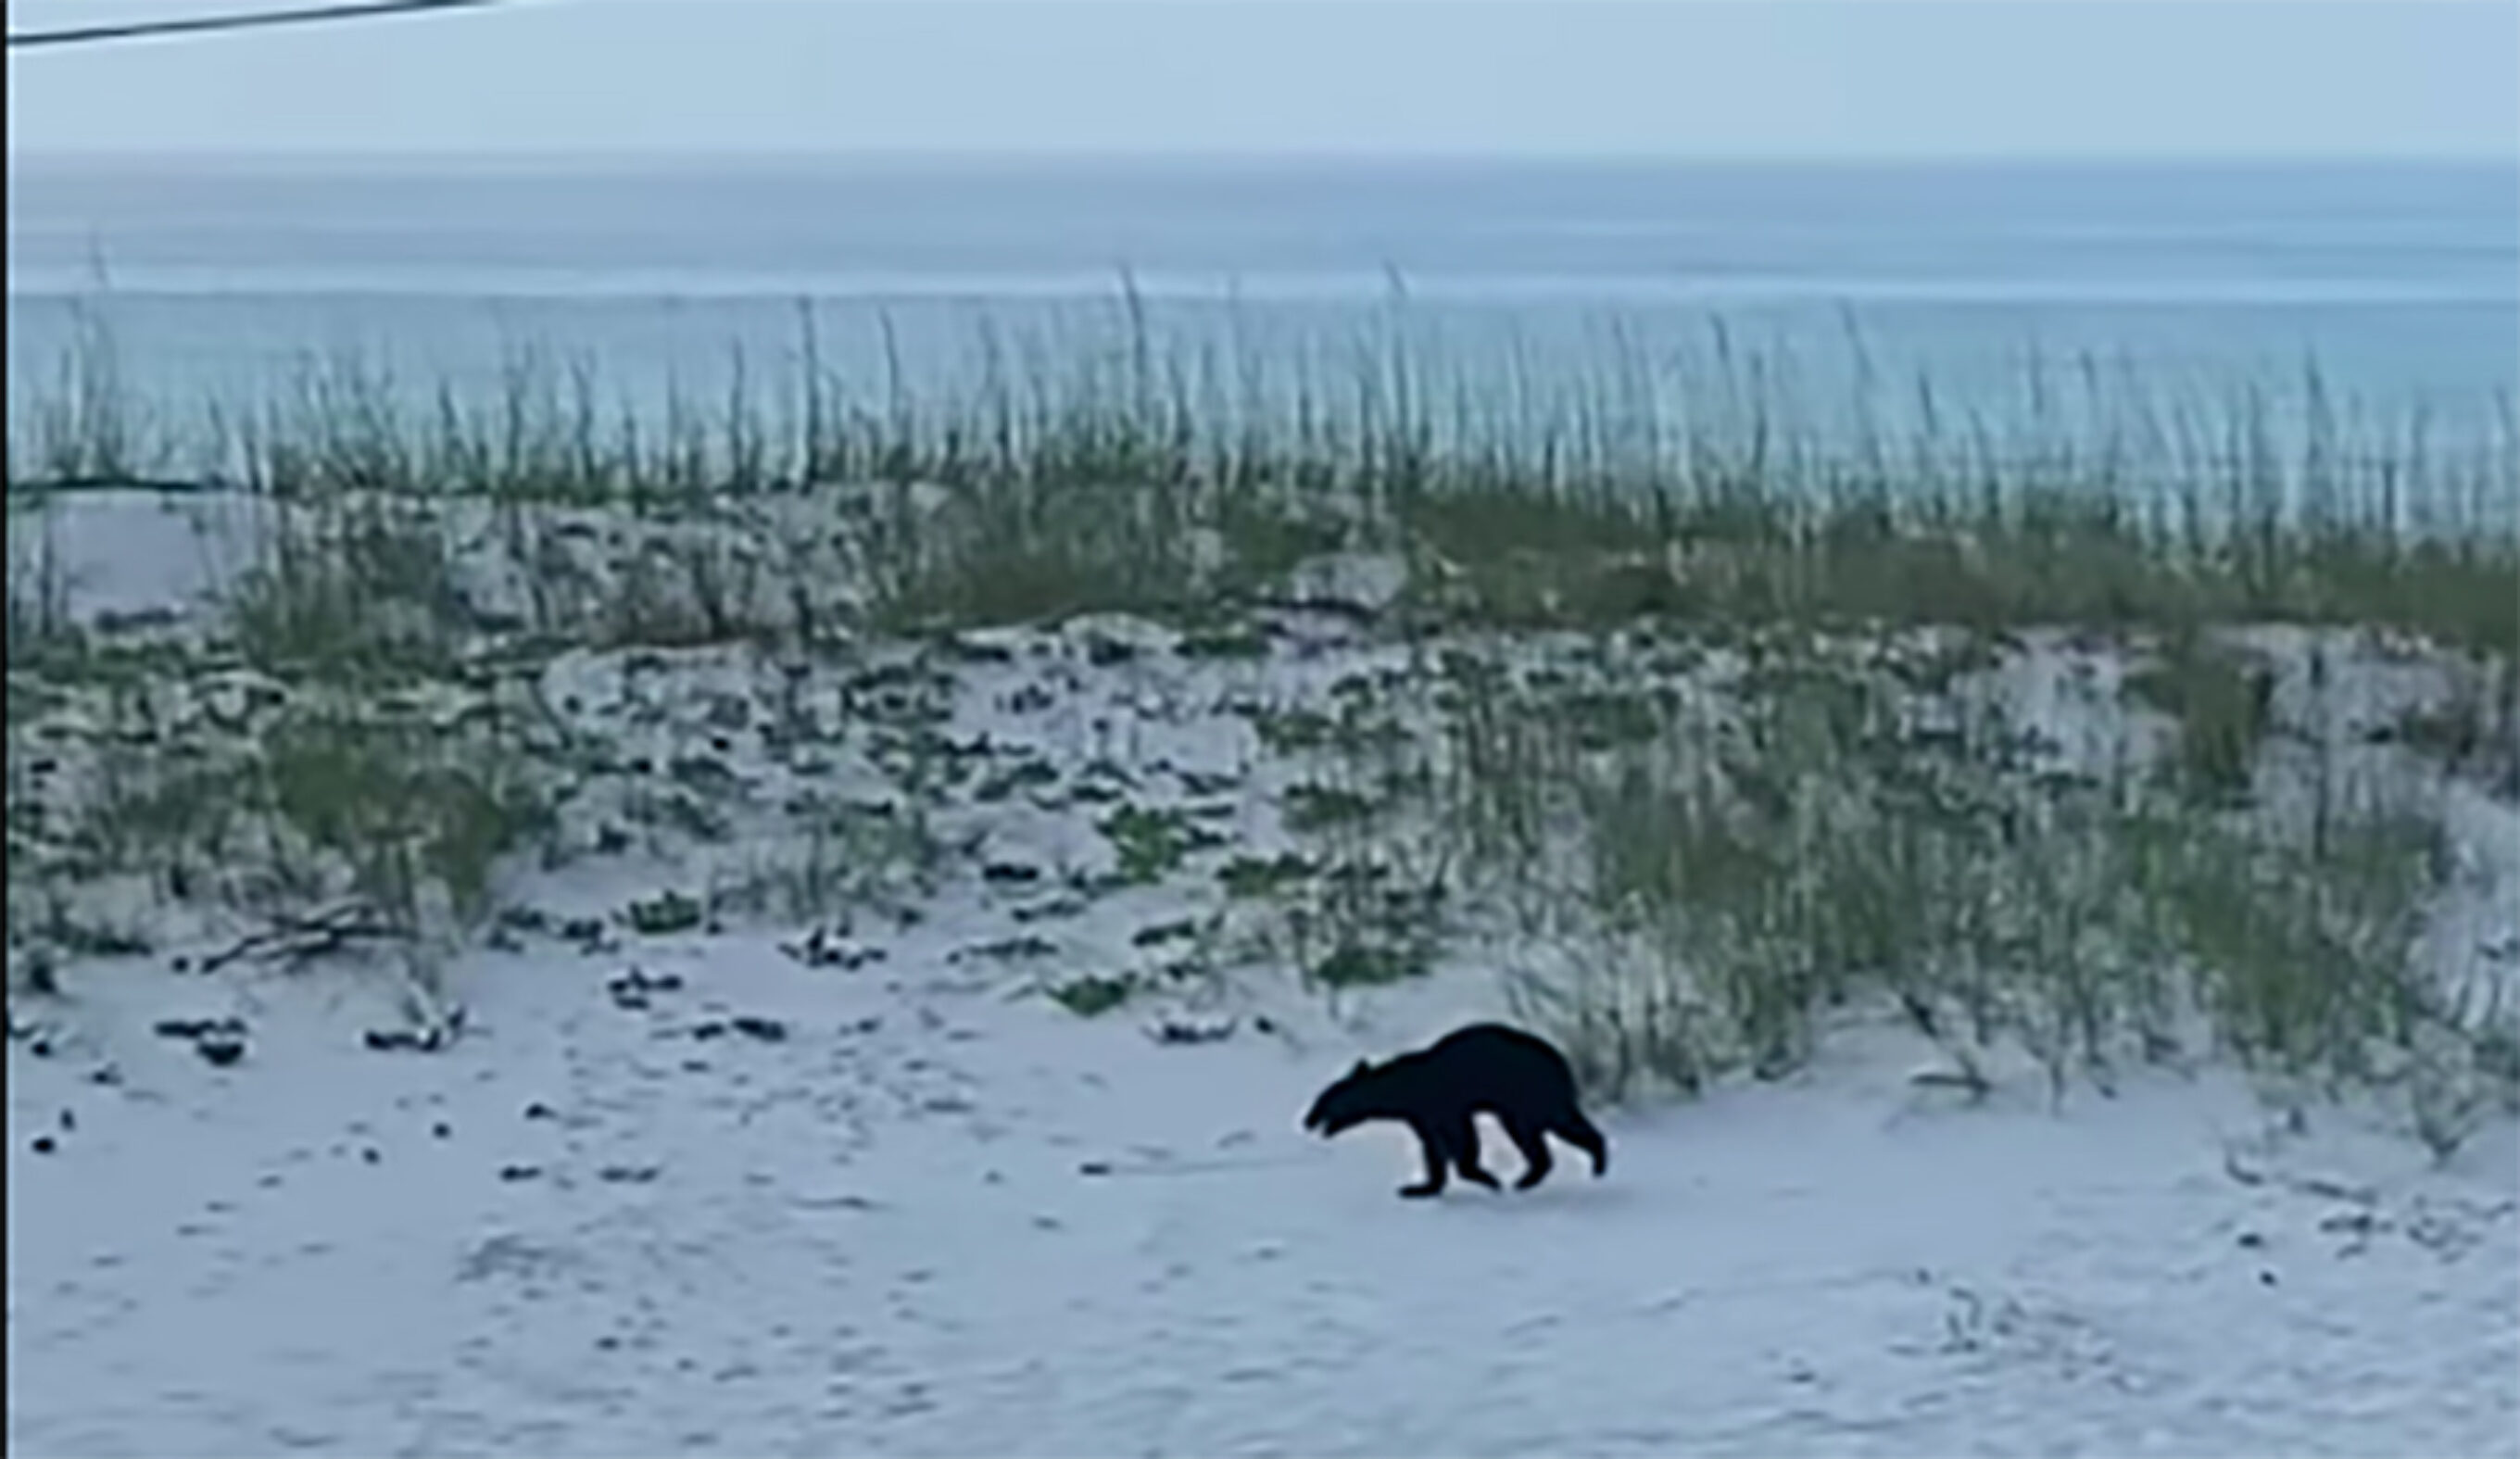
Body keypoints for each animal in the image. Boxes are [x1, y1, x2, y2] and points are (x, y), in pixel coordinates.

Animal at [1301, 1022, 1609, 1198]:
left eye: (1322, 1100)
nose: (1306, 1120)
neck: (1403, 1087)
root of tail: (1561, 1060)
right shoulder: (1421, 1115)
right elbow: (1432, 1147)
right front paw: (1420, 1187)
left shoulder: (1444, 1103)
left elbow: (1461, 1138)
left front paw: (1486, 1177)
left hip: (1526, 1093)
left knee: (1542, 1126)